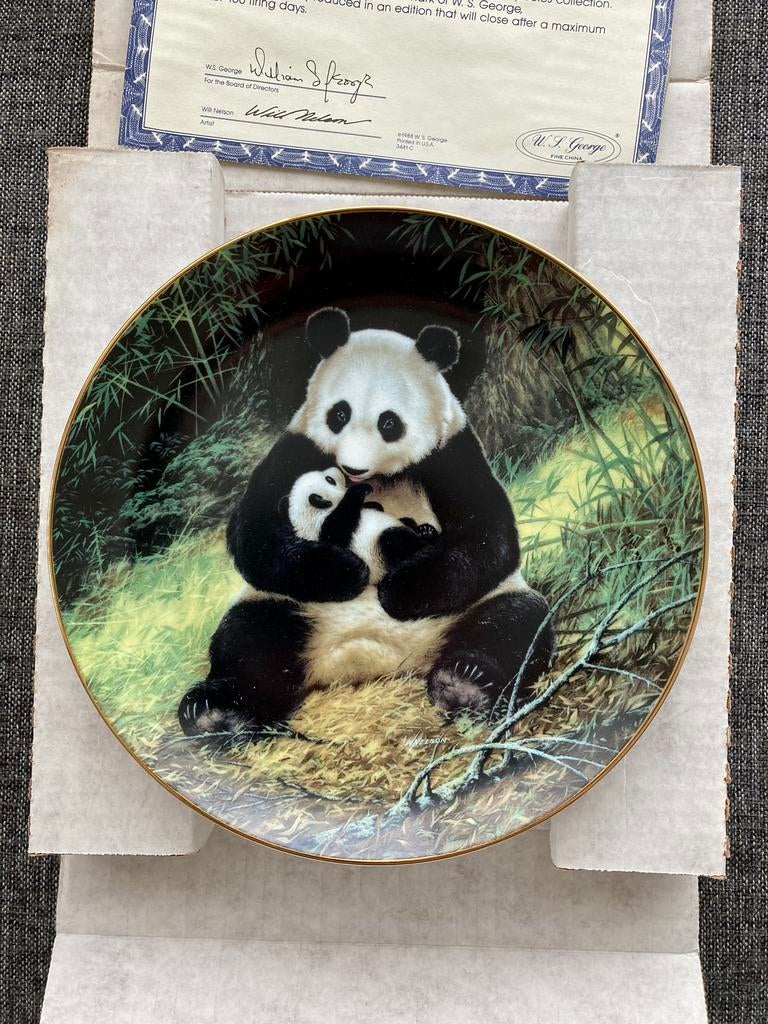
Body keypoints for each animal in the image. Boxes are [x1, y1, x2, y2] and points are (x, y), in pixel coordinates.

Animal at [179, 307, 553, 737]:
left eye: (389, 423)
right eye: (339, 414)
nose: (352, 468)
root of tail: (372, 658)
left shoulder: (452, 454)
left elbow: (490, 535)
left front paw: (397, 590)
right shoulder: (298, 448)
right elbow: (254, 534)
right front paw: (344, 570)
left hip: (472, 607)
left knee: (514, 623)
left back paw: (465, 683)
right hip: (290, 607)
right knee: (249, 640)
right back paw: (216, 711)